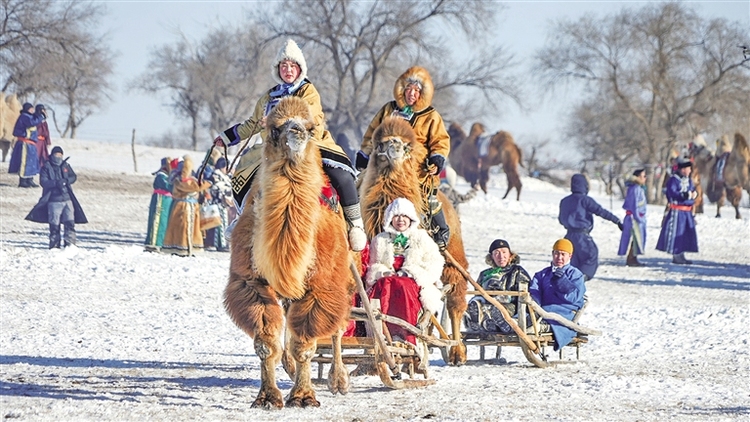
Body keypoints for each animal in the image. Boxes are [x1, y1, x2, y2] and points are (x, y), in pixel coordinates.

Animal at [223, 96, 356, 408]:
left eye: (309, 126)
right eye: (274, 127)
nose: (295, 132)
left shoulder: (321, 286)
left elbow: (305, 343)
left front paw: (304, 396)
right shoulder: (252, 283)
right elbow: (265, 341)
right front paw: (267, 397)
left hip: (345, 275)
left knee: (338, 326)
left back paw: (338, 380)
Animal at [360, 116, 470, 366]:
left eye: (405, 145)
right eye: (381, 143)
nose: (393, 147)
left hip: (453, 252)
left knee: (454, 296)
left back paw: (457, 351)